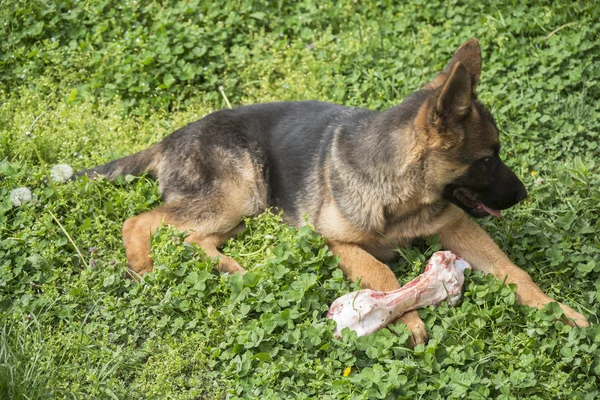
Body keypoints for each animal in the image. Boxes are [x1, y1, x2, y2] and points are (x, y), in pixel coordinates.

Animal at [77, 39, 588, 342]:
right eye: (487, 158)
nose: (522, 195)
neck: (400, 193)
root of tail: (168, 139)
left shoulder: (458, 227)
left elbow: (513, 271)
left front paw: (559, 311)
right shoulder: (332, 240)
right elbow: (383, 277)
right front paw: (406, 317)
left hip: (244, 210)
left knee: (193, 237)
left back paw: (233, 269)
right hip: (240, 193)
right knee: (142, 220)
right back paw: (145, 268)